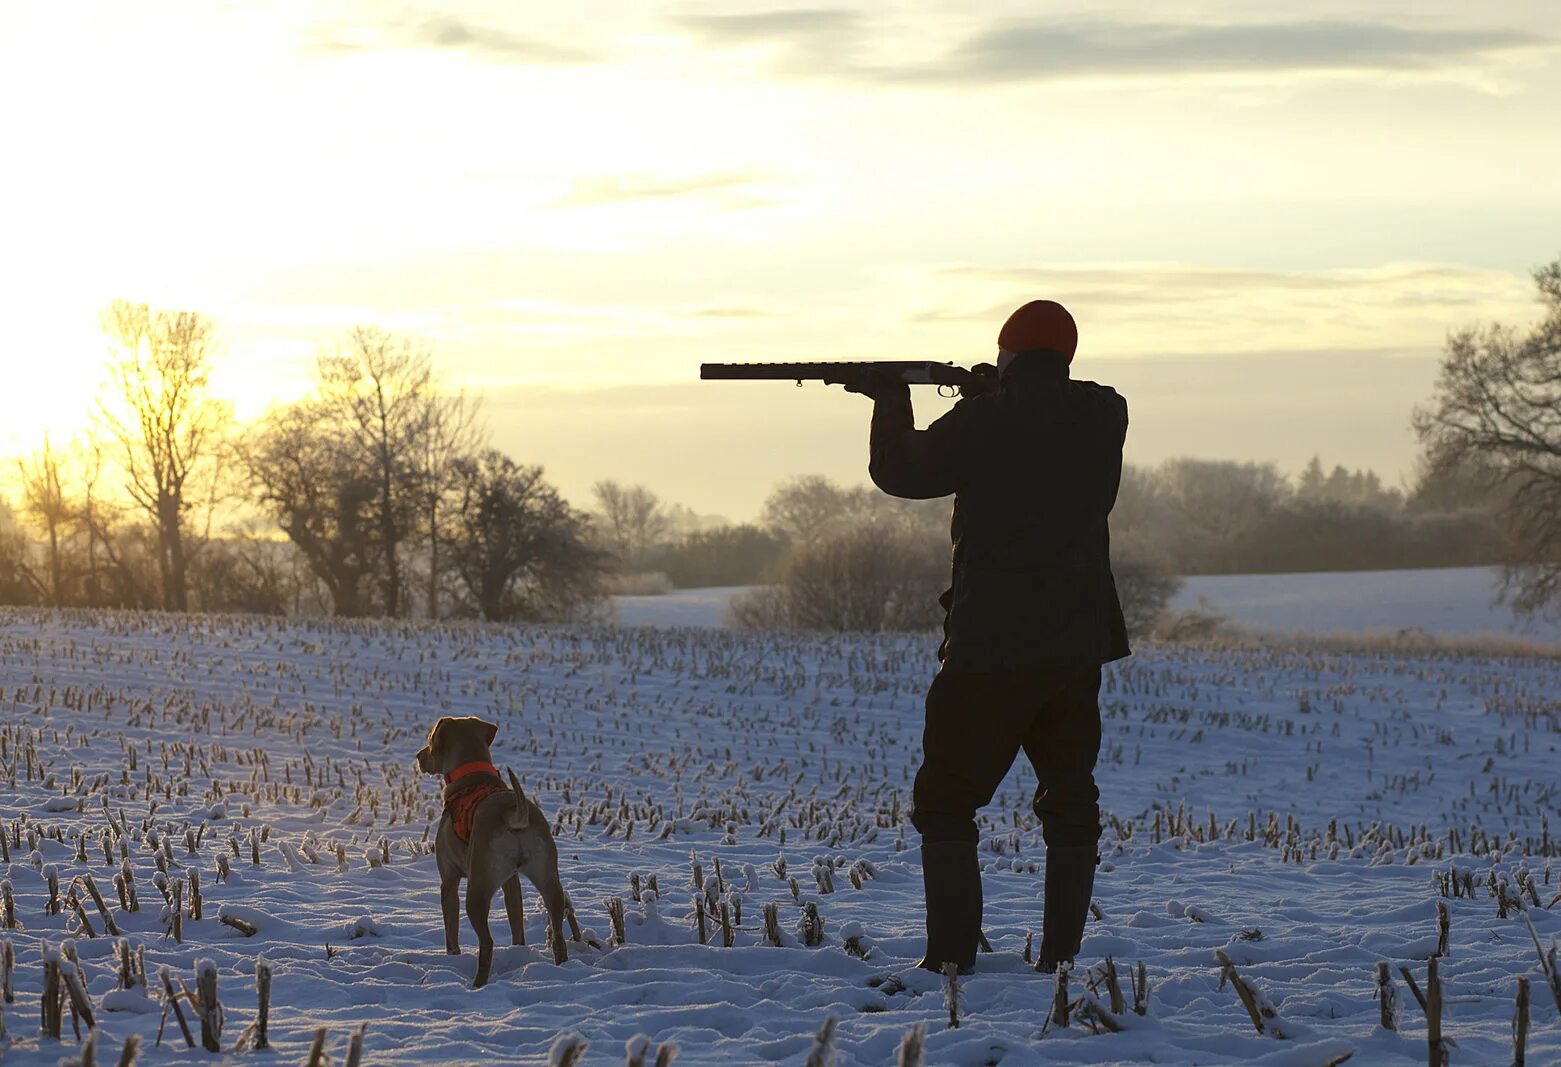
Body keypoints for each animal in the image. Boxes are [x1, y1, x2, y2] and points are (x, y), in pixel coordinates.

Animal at [415, 711, 568, 985]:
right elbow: (516, 919)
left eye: (431, 740)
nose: (419, 756)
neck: (472, 774)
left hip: (478, 887)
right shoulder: (511, 881)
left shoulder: (449, 879)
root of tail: (513, 812)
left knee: (487, 942)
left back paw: (478, 983)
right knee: (558, 931)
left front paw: (452, 956)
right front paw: (518, 949)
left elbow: (451, 930)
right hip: (549, 877)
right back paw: (562, 968)